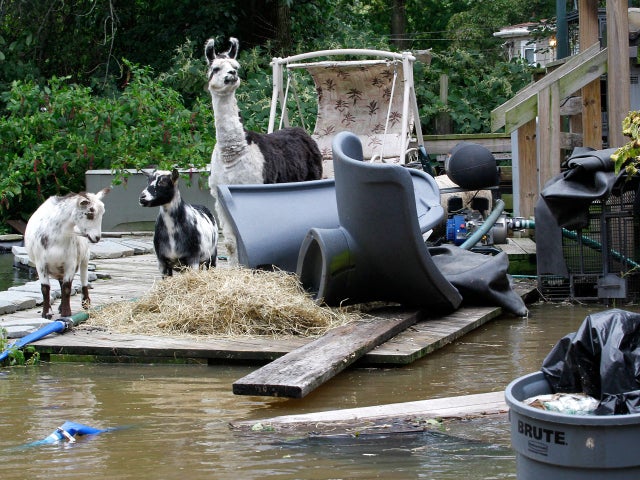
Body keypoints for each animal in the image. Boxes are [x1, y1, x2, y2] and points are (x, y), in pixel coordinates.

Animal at [24, 189, 110, 319]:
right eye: (90, 214)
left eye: (102, 214)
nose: (97, 238)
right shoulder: (40, 264)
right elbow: (45, 288)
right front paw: (47, 313)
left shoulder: (70, 262)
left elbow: (67, 288)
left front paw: (66, 313)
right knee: (60, 282)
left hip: (85, 257)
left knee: (83, 280)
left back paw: (85, 303)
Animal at [204, 36, 323, 264]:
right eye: (215, 68)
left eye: (236, 66)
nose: (231, 75)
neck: (233, 154)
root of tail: (300, 130)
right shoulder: (219, 198)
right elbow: (231, 243)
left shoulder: (254, 187)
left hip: (312, 177)